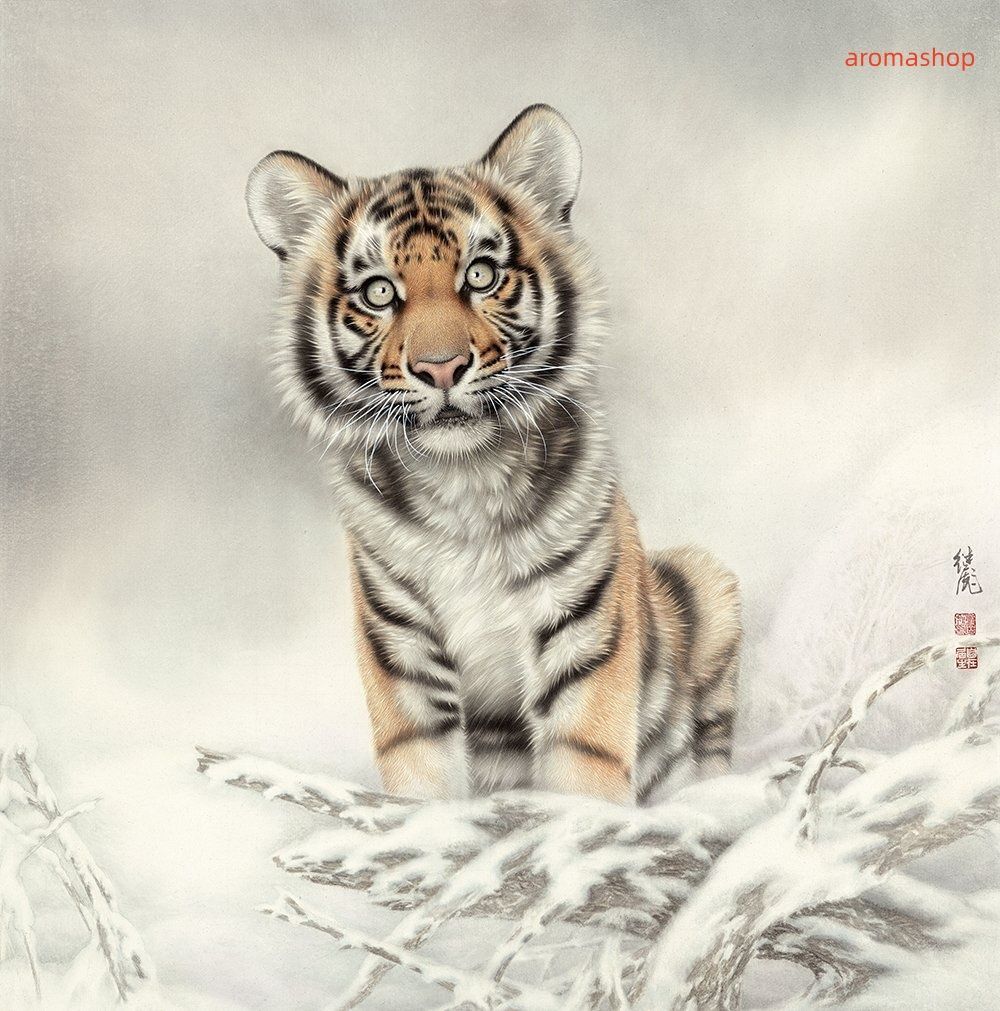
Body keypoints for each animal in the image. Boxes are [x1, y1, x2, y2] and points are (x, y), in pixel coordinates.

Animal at [245, 104, 741, 805]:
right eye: (378, 293)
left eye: (480, 275)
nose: (440, 366)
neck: (465, 479)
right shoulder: (400, 645)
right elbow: (422, 776)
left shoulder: (586, 630)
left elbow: (584, 765)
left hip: (704, 580)